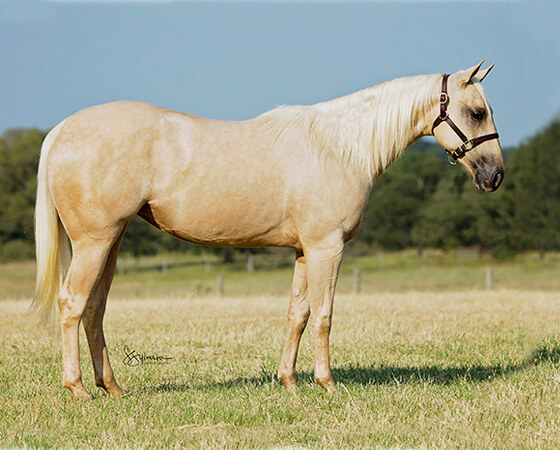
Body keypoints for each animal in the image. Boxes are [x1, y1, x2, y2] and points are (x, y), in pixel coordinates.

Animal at [34, 61, 504, 400]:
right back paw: (78, 389)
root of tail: (61, 130)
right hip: (94, 243)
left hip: (110, 243)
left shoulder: (304, 251)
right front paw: (327, 383)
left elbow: (298, 314)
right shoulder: (327, 248)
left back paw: (111, 387)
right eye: (476, 112)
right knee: (73, 303)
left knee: (94, 309)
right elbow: (325, 315)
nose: (495, 175)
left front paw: (290, 381)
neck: (339, 147)